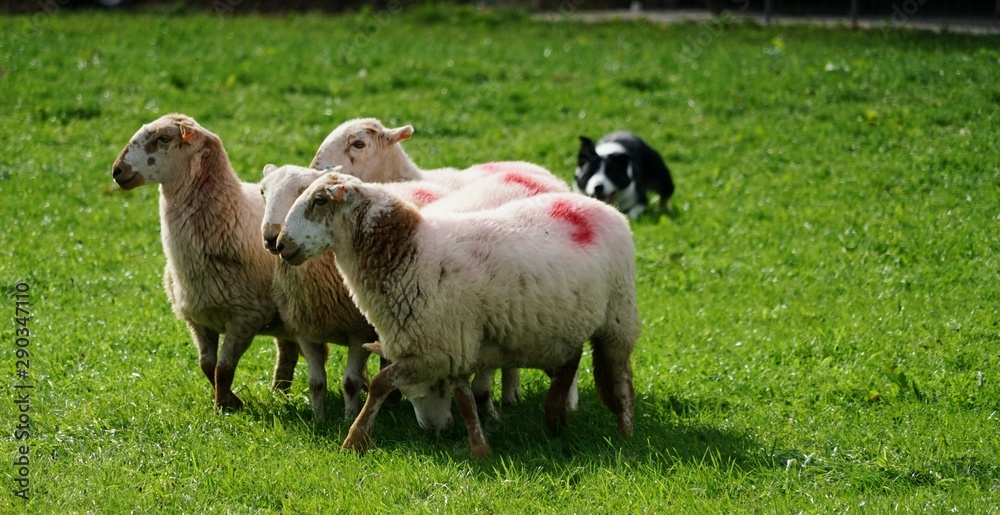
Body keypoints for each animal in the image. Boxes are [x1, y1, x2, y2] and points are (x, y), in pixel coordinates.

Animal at [111, 113, 299, 412]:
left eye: (164, 138)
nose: (117, 171)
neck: (229, 215)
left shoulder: (245, 317)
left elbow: (223, 369)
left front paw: (223, 410)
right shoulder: (197, 318)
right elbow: (207, 366)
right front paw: (232, 401)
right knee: (290, 350)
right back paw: (279, 392)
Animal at [275, 171, 639, 460]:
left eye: (320, 200)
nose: (279, 244)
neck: (409, 253)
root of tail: (600, 206)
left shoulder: (437, 348)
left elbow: (380, 384)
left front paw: (354, 439)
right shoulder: (453, 346)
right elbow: (464, 400)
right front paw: (480, 450)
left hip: (618, 319)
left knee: (621, 378)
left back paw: (625, 432)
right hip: (563, 325)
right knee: (570, 362)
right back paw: (555, 420)